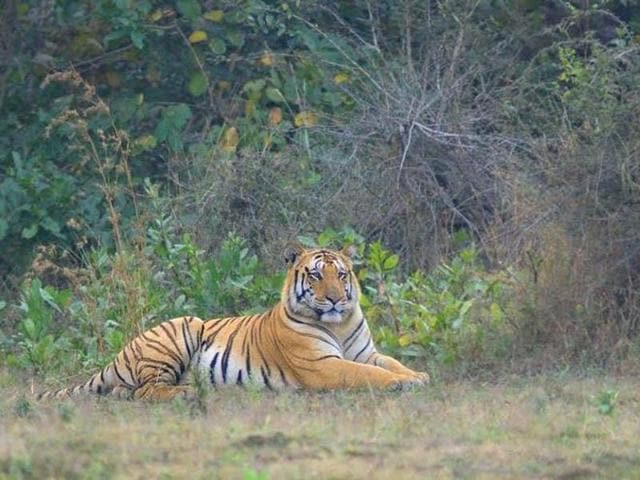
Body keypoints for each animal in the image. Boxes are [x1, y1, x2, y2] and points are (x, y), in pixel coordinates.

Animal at [38, 244, 429, 400]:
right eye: (316, 275)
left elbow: (389, 362)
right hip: (182, 328)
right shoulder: (323, 366)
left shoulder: (365, 351)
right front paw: (400, 383)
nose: (334, 298)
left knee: (129, 392)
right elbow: (368, 374)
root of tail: (124, 350)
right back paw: (186, 393)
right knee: (148, 391)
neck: (338, 323)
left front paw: (417, 376)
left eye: (342, 274)